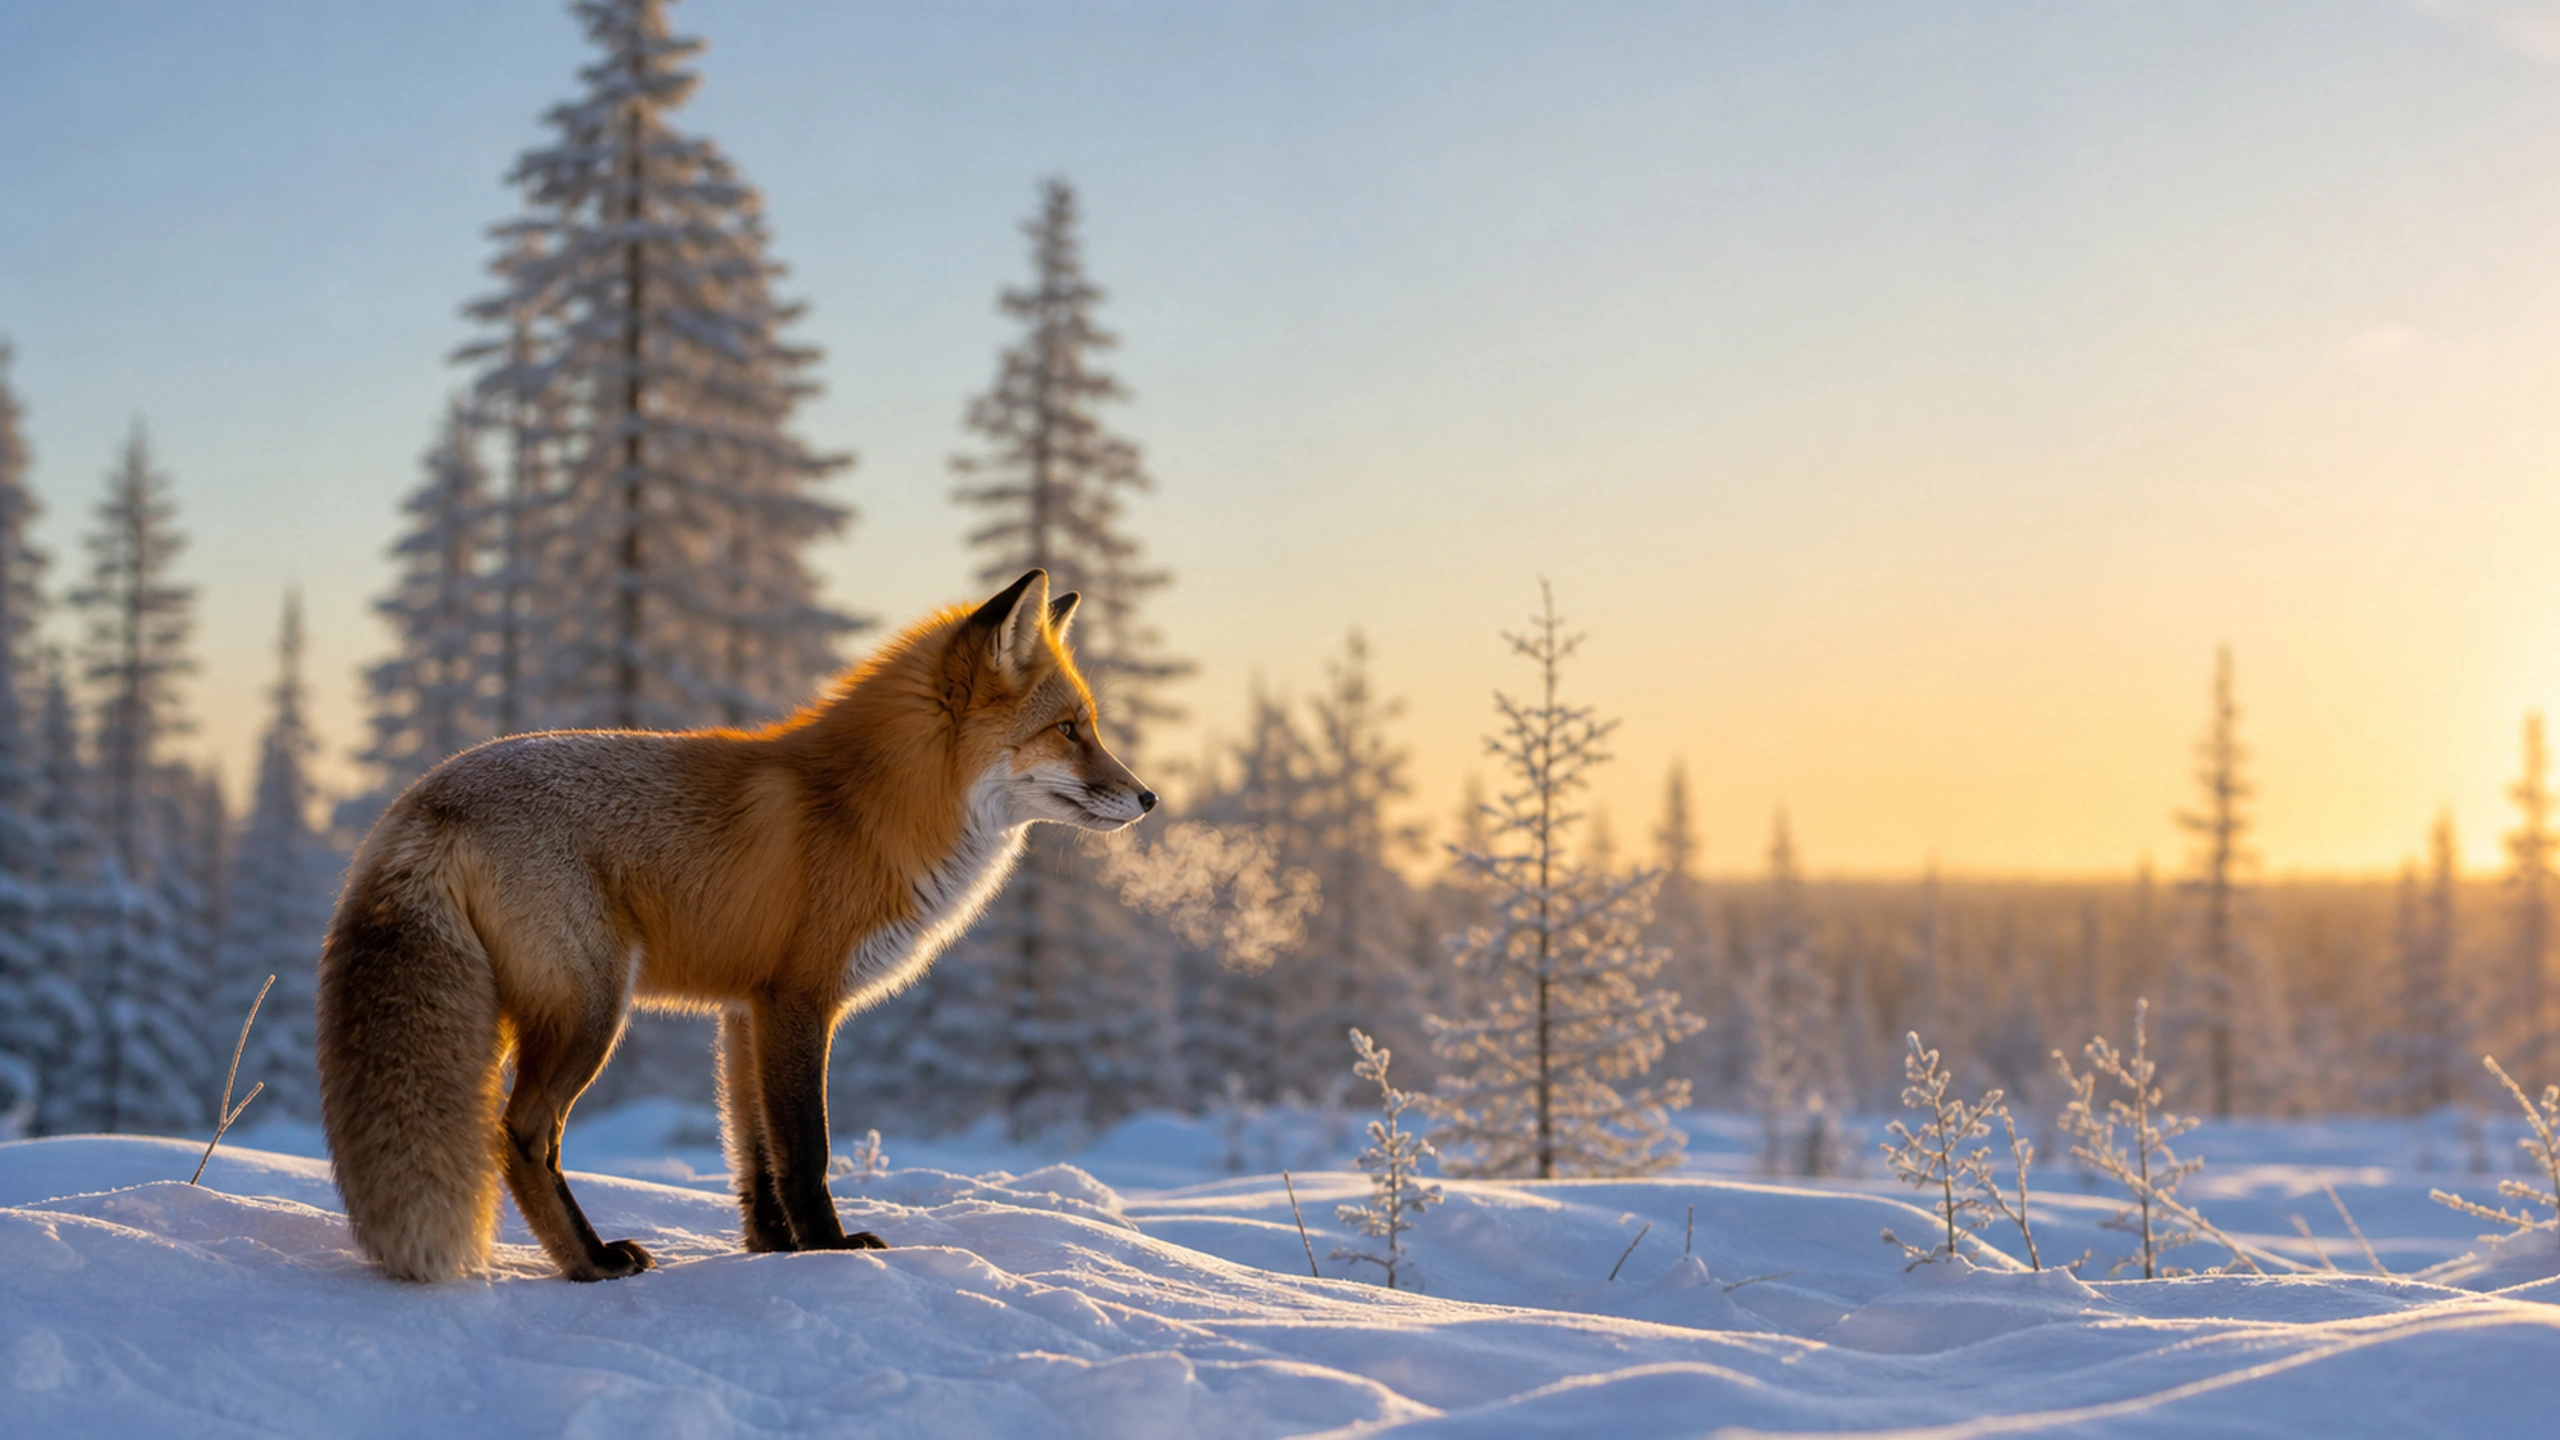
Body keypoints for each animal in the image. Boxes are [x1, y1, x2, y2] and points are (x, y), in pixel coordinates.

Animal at [315, 569, 1153, 1283]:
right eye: (1070, 730)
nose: (1148, 798)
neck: (870, 809)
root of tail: (425, 798)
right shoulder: (800, 998)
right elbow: (807, 1151)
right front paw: (828, 1254)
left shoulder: (746, 1010)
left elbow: (755, 1155)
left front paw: (770, 1250)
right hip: (591, 1009)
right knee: (521, 1133)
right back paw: (590, 1263)